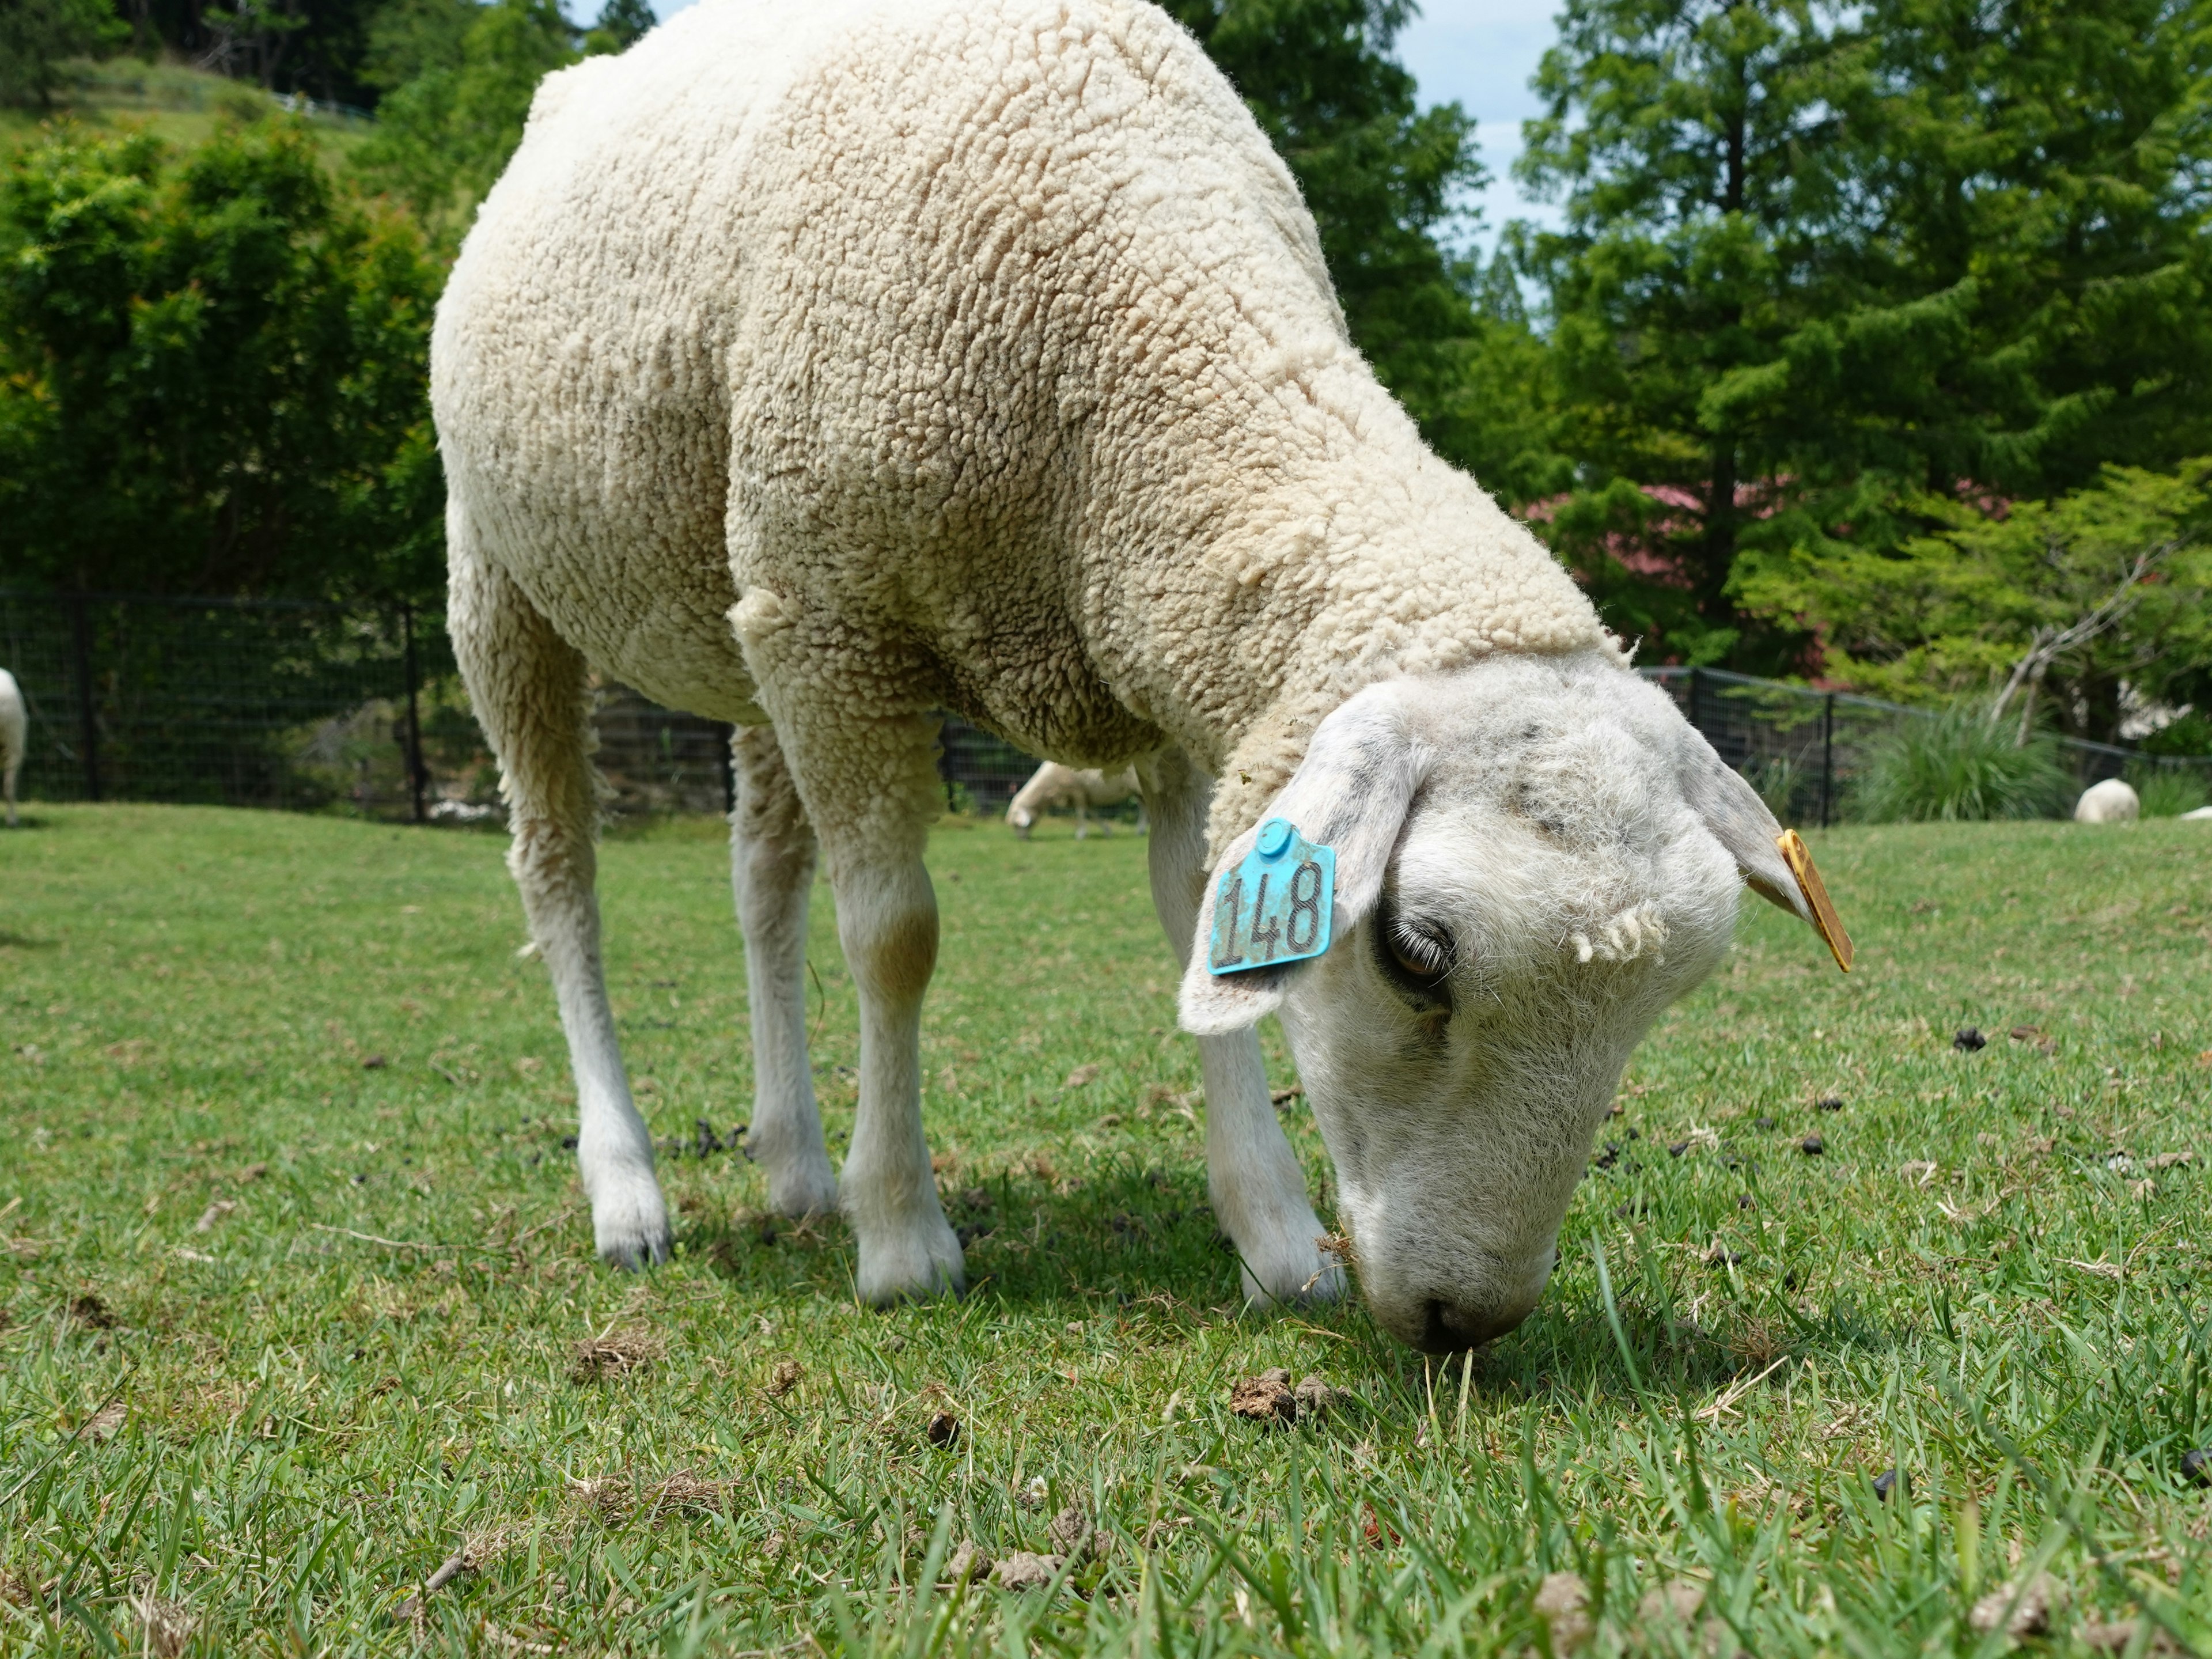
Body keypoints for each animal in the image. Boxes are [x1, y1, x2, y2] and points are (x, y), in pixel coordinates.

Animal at [1004, 765, 1141, 844]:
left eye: (1016, 825)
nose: (1022, 840)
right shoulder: (1085, 796)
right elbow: (1093, 814)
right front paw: (1107, 831)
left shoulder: (1077, 791)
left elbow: (1080, 813)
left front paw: (1081, 835)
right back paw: (1141, 831)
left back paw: (1141, 830)